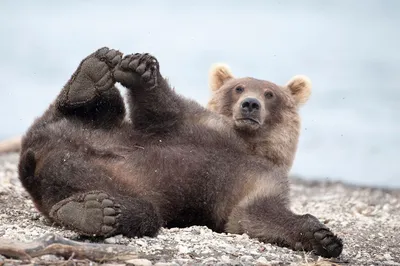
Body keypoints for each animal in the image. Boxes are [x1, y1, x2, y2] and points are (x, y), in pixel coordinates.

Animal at [18, 47, 342, 258]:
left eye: (270, 93)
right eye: (239, 88)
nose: (251, 104)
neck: (250, 145)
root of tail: (34, 161)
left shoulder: (253, 181)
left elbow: (253, 214)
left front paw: (323, 236)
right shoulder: (199, 127)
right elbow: (162, 111)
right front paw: (139, 68)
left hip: (94, 181)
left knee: (144, 211)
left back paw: (93, 211)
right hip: (93, 130)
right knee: (91, 110)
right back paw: (92, 73)